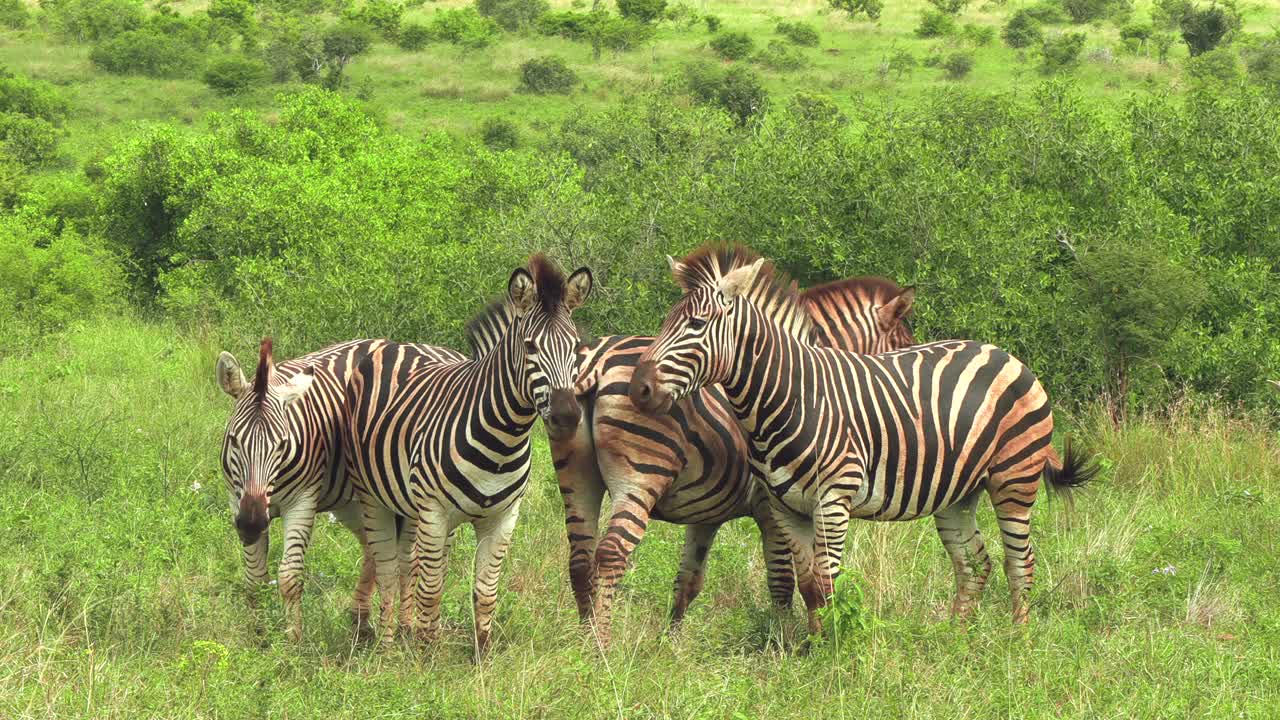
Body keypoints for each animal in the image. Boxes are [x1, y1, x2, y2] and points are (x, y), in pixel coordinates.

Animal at [217, 335, 448, 638]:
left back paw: (404, 627)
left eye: (282, 444)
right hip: (354, 501)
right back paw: (360, 619)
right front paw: (259, 636)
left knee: (409, 561)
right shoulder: (238, 500)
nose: (252, 524)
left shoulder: (302, 501)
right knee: (372, 548)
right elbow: (254, 579)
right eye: (234, 440)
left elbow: (289, 576)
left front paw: (292, 638)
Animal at [345, 254, 593, 653]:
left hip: (413, 508)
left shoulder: (503, 518)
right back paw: (387, 643)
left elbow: (485, 592)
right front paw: (427, 656)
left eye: (575, 348)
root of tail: (404, 344)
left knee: (407, 564)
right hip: (376, 498)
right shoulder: (434, 511)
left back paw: (406, 629)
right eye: (530, 347)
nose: (567, 417)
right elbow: (431, 590)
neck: (503, 441)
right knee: (388, 569)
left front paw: (480, 654)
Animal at [555, 275, 916, 645]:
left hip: (576, 476)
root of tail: (599, 360)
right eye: (903, 345)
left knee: (580, 559)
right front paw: (782, 641)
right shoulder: (771, 508)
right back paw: (602, 643)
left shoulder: (705, 514)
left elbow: (688, 581)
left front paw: (671, 644)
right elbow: (782, 581)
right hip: (641, 475)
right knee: (612, 552)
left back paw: (582, 638)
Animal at [629, 245, 1090, 632]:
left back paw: (1017, 638)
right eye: (666, 322)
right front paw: (809, 649)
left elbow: (825, 584)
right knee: (975, 562)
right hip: (958, 492)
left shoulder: (832, 500)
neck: (791, 396)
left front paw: (832, 652)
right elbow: (809, 585)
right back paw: (956, 639)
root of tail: (1003, 353)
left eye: (696, 324)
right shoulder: (784, 507)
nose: (638, 389)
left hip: (1014, 478)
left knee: (1020, 561)